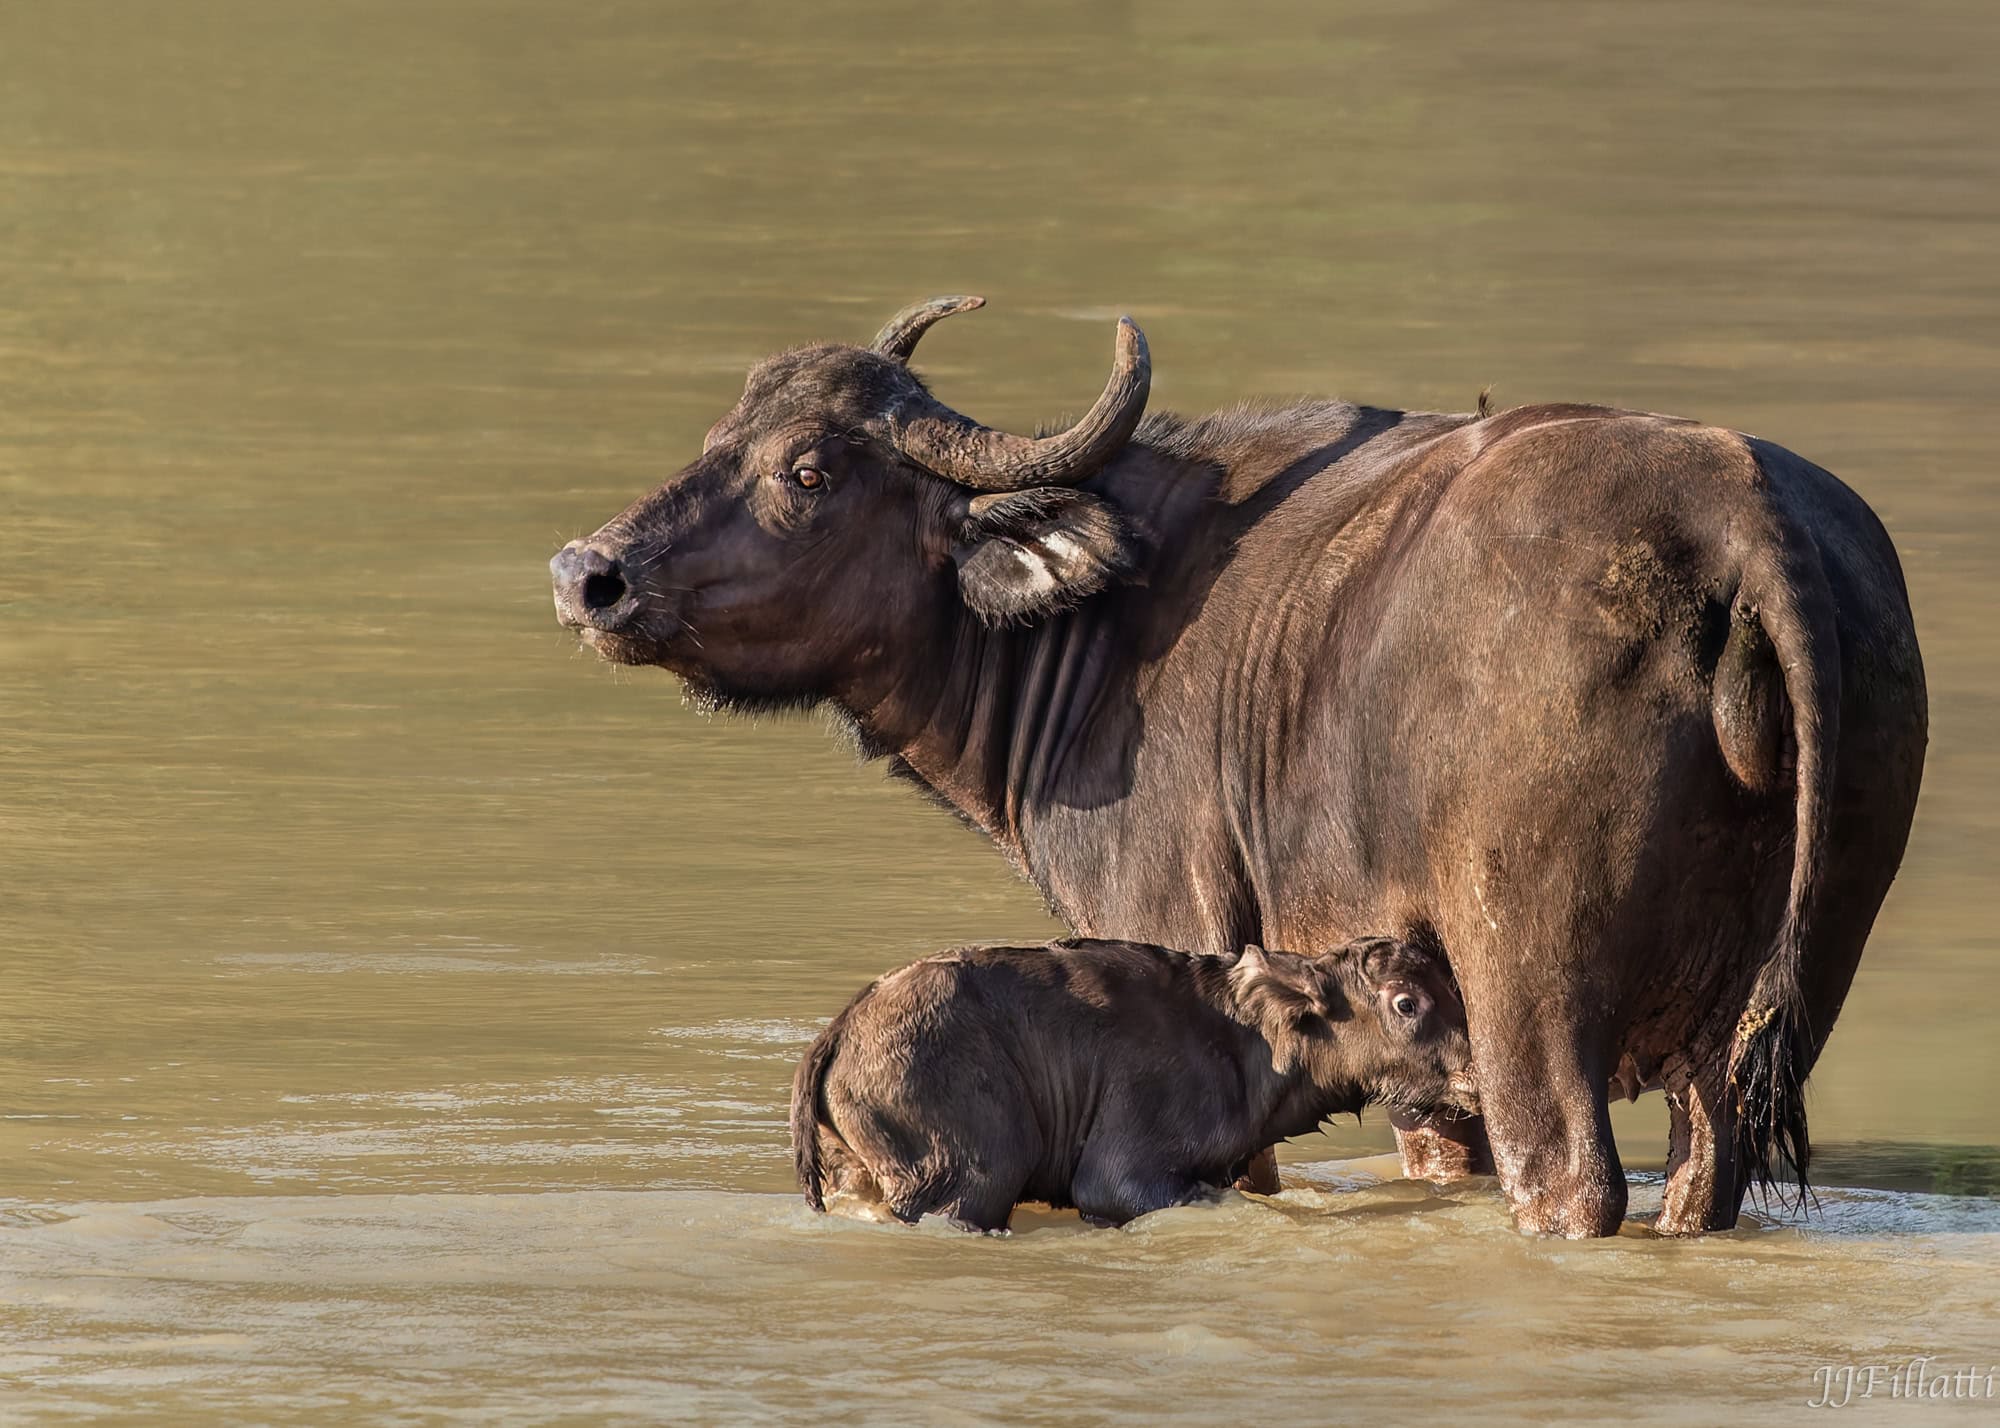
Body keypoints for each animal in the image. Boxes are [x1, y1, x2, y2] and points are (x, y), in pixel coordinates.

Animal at [556, 300, 1928, 1232]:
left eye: (808, 469)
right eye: (717, 435)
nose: (588, 574)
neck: (1107, 626)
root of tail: (1734, 518)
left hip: (1530, 995)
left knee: (1571, 1180)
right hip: (1776, 1009)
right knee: (1702, 1178)